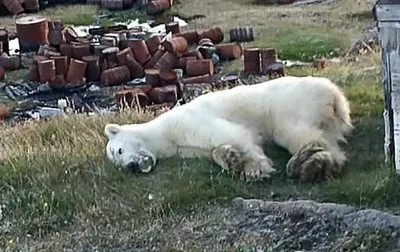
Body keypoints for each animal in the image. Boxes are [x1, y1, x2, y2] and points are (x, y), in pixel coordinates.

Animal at [104, 76, 354, 182]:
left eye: (118, 151)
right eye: (117, 163)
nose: (132, 166)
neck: (163, 133)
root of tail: (334, 95)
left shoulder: (186, 122)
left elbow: (231, 134)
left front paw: (254, 169)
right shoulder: (185, 147)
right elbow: (213, 149)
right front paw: (230, 158)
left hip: (292, 103)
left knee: (294, 131)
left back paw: (307, 164)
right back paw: (318, 165)